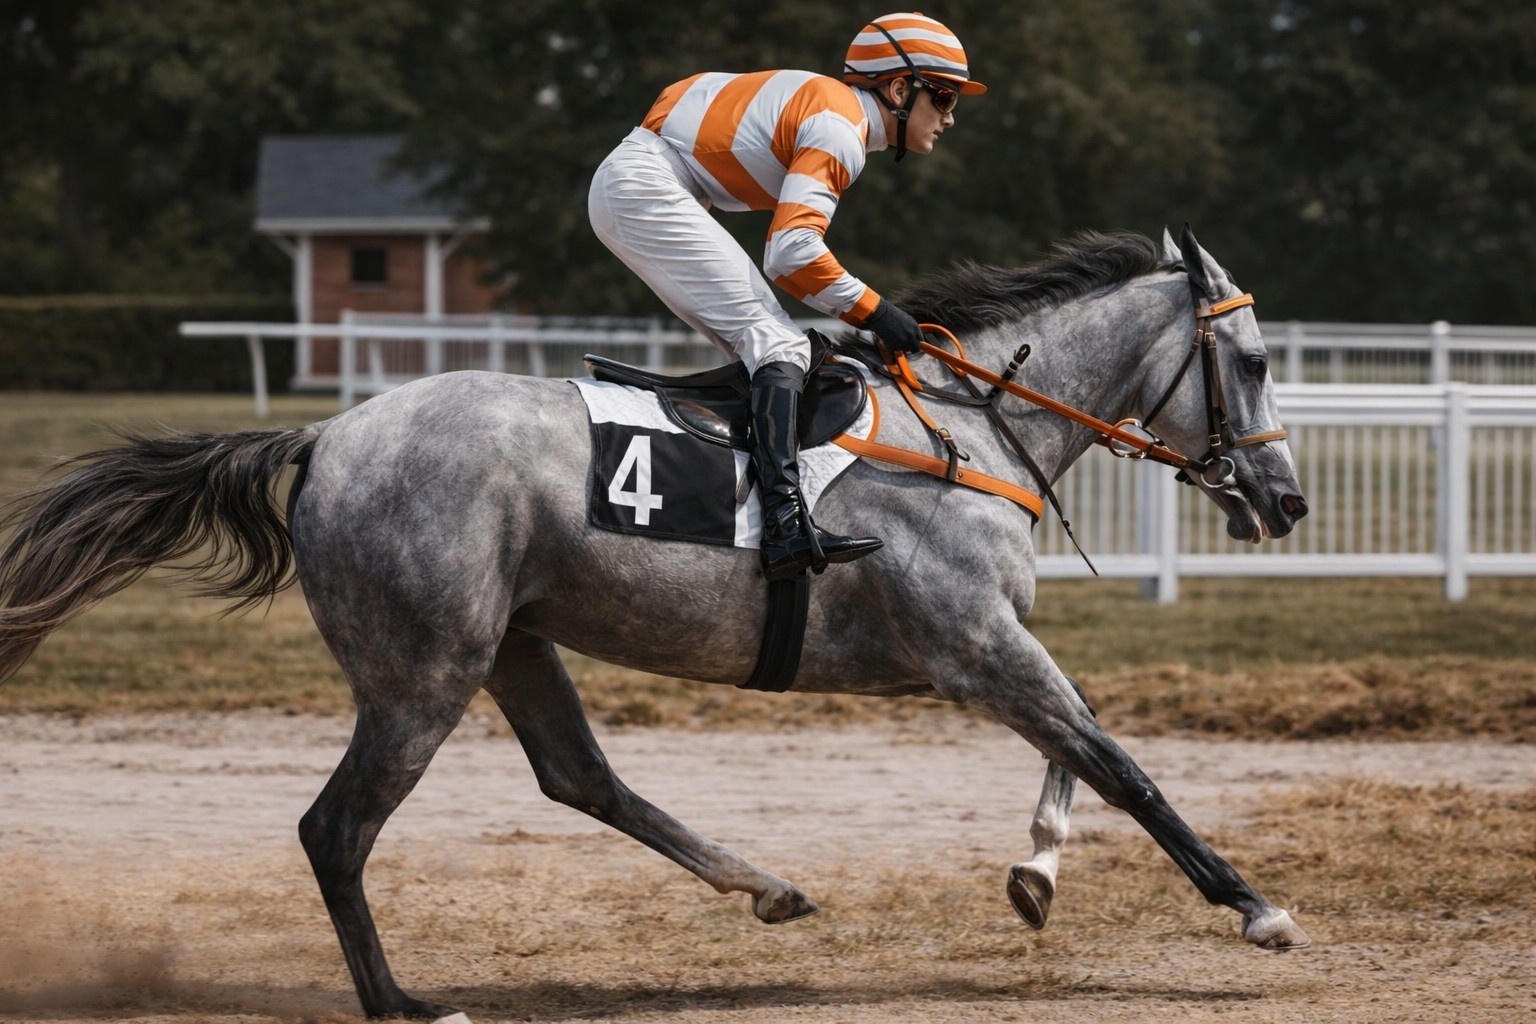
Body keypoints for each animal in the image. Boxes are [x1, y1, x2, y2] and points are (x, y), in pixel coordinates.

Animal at [0, 226, 1311, 1022]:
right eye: (1250, 360)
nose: (1288, 500)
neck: (969, 425)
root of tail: (325, 434)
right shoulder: (972, 649)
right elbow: (1122, 763)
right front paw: (1256, 907)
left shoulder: (990, 649)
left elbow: (1080, 743)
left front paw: (1035, 871)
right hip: (423, 672)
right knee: (337, 829)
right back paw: (402, 999)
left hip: (513, 642)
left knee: (579, 776)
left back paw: (765, 886)